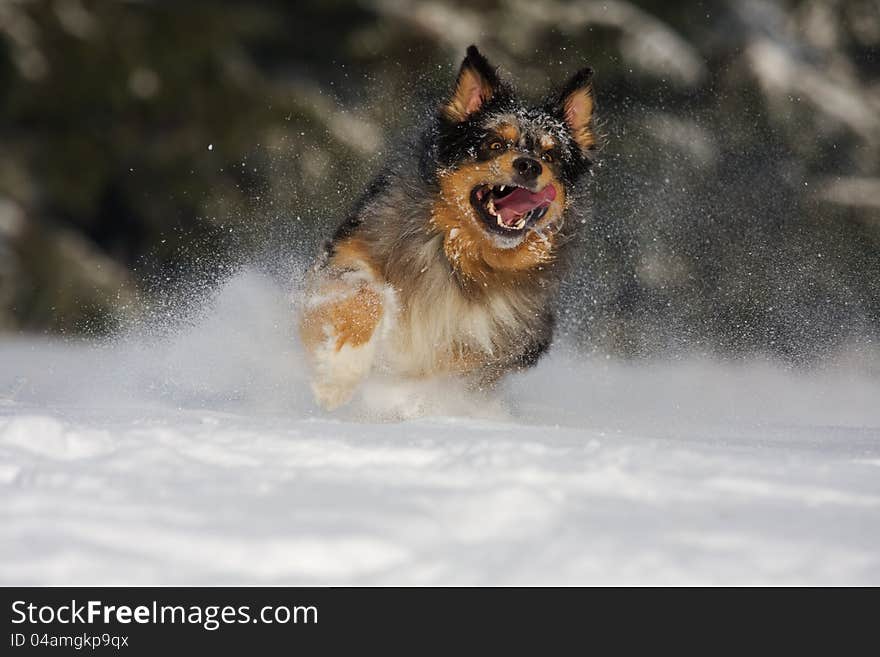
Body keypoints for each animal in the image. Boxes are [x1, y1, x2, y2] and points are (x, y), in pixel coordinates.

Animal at [300, 46, 596, 408]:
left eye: (551, 156)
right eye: (495, 144)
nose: (529, 165)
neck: (462, 255)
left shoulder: (517, 336)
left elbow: (456, 362)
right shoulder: (346, 255)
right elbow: (365, 295)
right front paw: (339, 373)